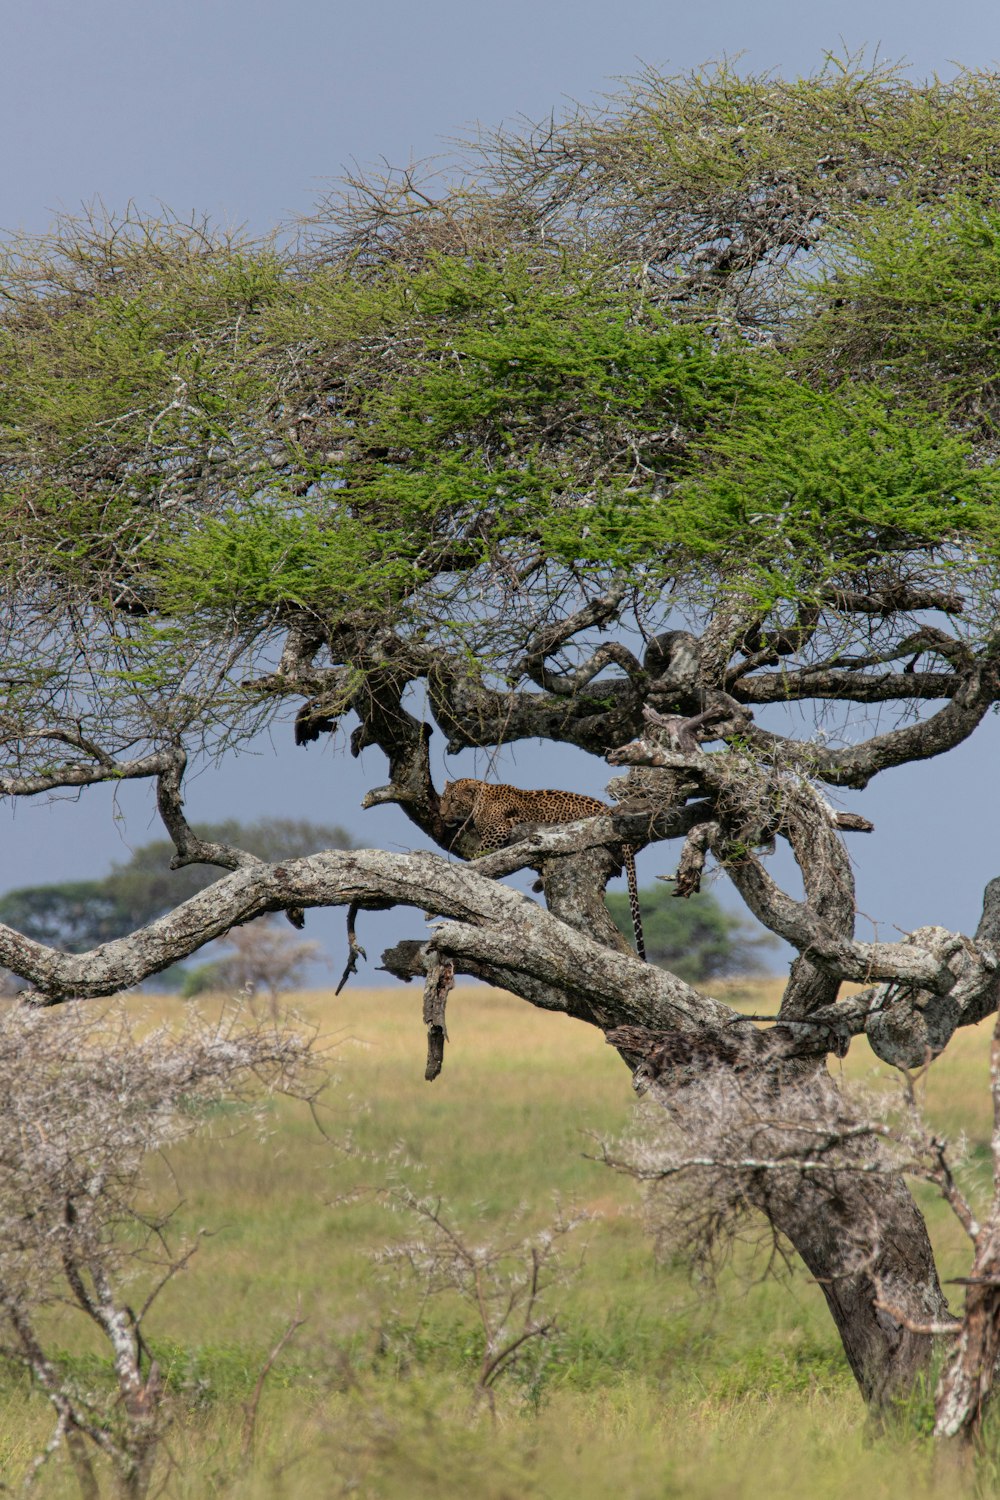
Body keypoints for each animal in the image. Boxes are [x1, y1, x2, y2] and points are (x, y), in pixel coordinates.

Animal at [440, 780, 650, 966]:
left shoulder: (497, 830)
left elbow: (480, 855)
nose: (442, 815)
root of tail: (609, 811)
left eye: (453, 800)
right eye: (443, 799)